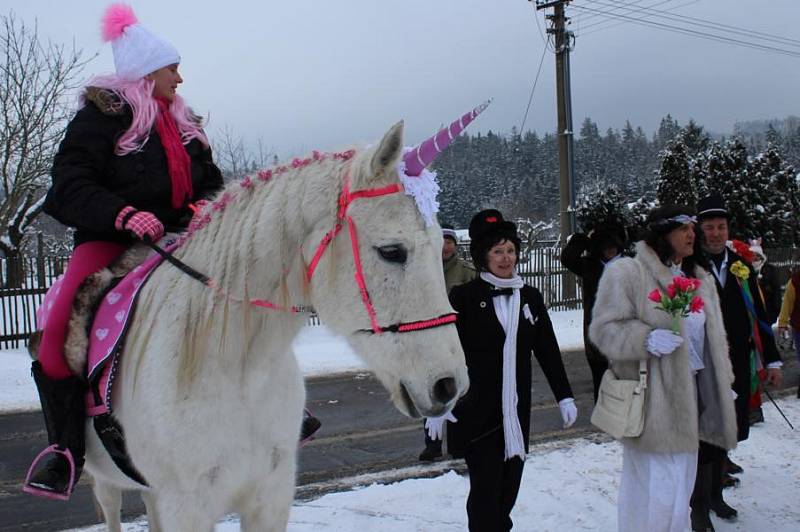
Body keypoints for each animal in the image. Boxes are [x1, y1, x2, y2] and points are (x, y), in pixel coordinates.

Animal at [83, 121, 468, 532]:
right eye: (392, 251)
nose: (450, 385)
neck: (237, 370)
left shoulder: (271, 495)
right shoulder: (185, 506)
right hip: (106, 481)